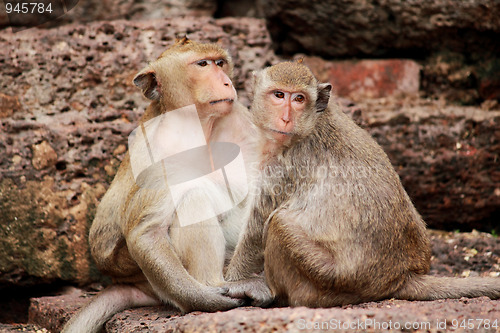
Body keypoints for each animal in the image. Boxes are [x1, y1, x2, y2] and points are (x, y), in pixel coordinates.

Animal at [63, 37, 270, 330]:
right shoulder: (159, 149)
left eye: (220, 63)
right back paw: (217, 284)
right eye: (203, 64)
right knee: (194, 197)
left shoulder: (240, 120)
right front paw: (205, 300)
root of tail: (136, 284)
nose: (227, 82)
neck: (198, 126)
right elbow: (146, 232)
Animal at [225, 61, 500, 308]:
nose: (285, 118)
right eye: (279, 95)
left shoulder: (284, 168)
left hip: (328, 280)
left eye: (299, 99)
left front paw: (234, 280)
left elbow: (256, 231)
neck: (311, 124)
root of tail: (400, 276)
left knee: (279, 225)